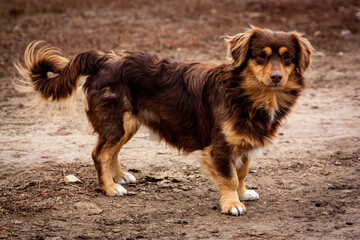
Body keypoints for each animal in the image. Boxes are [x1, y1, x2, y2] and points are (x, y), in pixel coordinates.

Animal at [14, 26, 312, 216]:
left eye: (287, 58)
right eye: (261, 56)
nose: (276, 77)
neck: (248, 93)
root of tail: (103, 59)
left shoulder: (243, 142)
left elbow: (242, 171)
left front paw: (243, 192)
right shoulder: (220, 146)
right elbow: (227, 176)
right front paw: (231, 204)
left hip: (128, 123)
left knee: (111, 151)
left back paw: (120, 176)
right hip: (117, 121)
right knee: (99, 153)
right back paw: (109, 188)